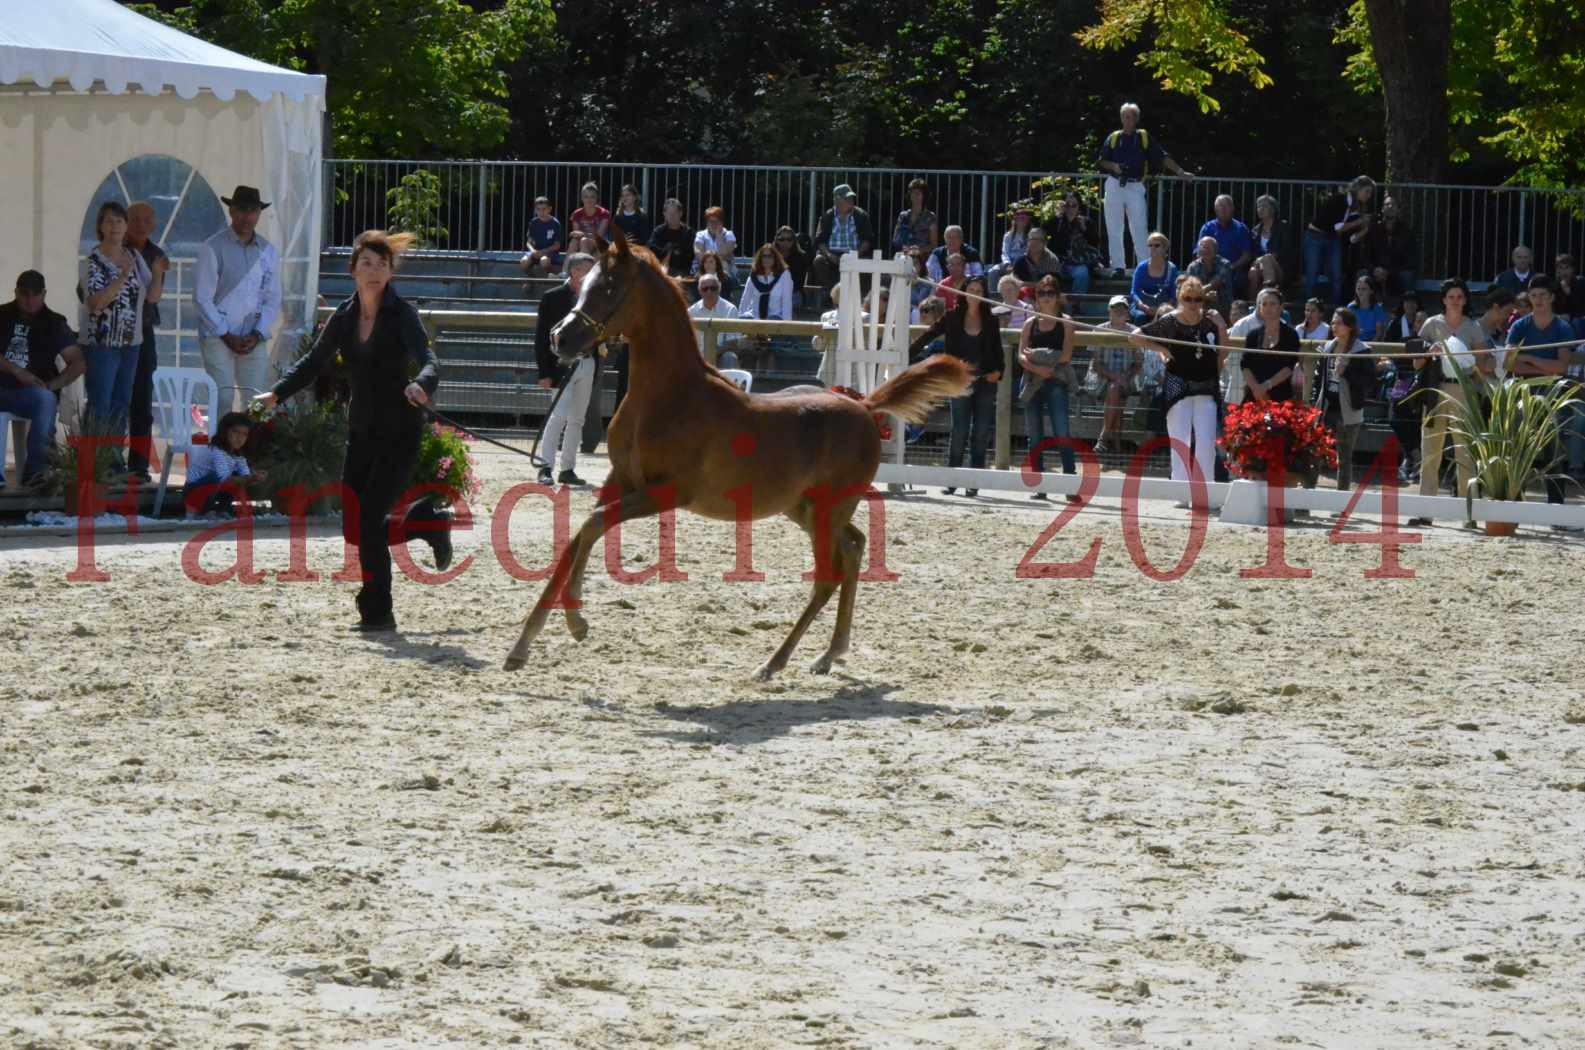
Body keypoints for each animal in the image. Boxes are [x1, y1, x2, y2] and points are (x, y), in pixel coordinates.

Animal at [504, 233, 976, 682]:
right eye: (583, 283)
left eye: (610, 286)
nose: (560, 337)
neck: (669, 397)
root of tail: (865, 406)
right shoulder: (620, 480)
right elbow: (579, 535)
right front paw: (524, 645)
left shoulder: (668, 492)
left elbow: (592, 525)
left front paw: (576, 623)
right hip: (806, 508)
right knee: (855, 547)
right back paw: (829, 654)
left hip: (827, 509)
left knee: (828, 576)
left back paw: (774, 662)